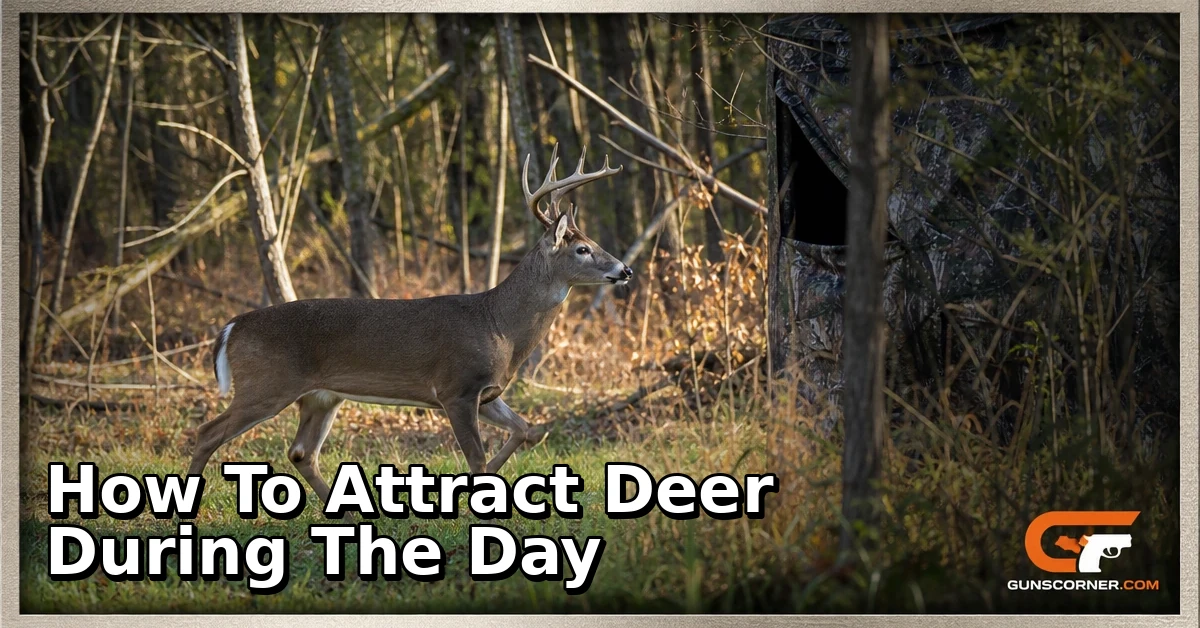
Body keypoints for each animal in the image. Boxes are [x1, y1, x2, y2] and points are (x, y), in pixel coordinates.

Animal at [187, 145, 632, 508]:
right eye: (582, 249)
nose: (624, 269)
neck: (500, 326)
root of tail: (232, 326)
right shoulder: (456, 388)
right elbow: (477, 459)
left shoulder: (486, 393)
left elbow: (524, 430)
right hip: (267, 384)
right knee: (207, 432)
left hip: (321, 396)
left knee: (301, 452)